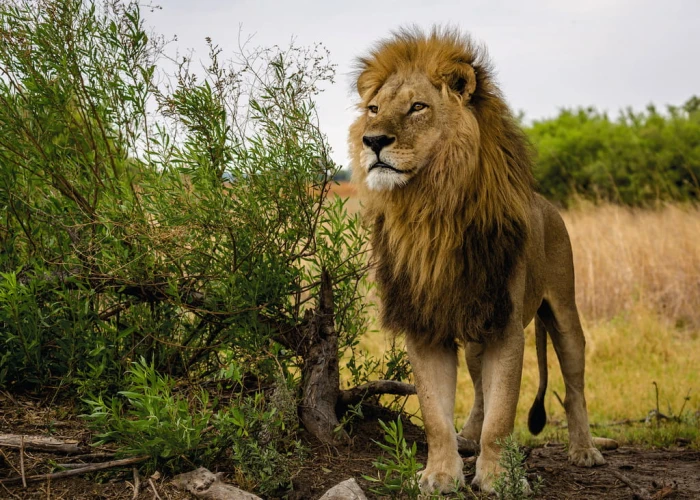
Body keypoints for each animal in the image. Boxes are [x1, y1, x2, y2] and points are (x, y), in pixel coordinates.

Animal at [349, 28, 609, 493]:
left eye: (417, 107)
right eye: (374, 110)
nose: (372, 141)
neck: (430, 210)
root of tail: (547, 204)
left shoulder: (506, 328)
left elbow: (503, 415)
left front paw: (500, 480)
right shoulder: (426, 325)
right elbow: (436, 414)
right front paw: (439, 475)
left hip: (563, 312)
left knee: (574, 385)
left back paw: (584, 450)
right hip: (473, 335)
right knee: (479, 390)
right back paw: (468, 435)